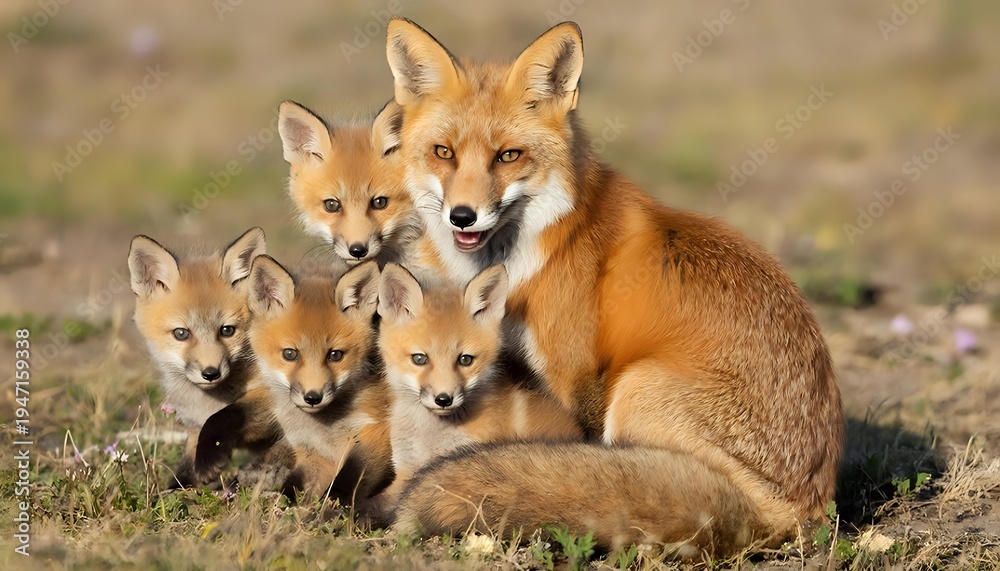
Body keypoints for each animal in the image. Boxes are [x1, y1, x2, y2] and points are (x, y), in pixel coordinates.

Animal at [127, 227, 266, 487]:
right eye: (181, 333)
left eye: (227, 330)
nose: (211, 373)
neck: (207, 401)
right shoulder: (193, 426)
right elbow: (184, 470)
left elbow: (227, 414)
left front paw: (209, 458)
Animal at [194, 255, 394, 511]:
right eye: (290, 354)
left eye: (335, 355)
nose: (313, 397)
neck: (323, 426)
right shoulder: (314, 452)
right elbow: (294, 485)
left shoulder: (376, 432)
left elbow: (349, 478)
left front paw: (332, 507)